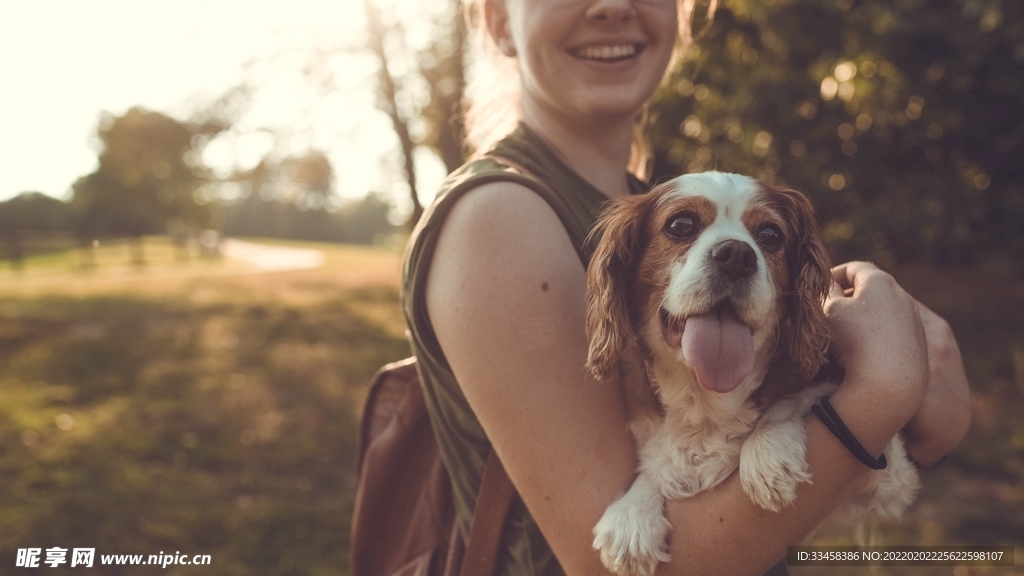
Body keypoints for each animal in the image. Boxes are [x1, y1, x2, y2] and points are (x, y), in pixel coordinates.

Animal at [585, 170, 921, 573]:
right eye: (681, 225)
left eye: (770, 235)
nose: (736, 255)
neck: (708, 400)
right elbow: (659, 461)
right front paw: (633, 512)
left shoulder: (890, 479)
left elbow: (798, 397)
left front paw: (767, 450)